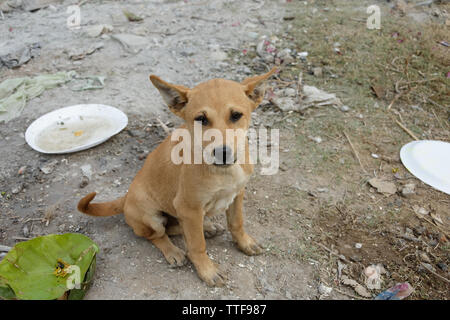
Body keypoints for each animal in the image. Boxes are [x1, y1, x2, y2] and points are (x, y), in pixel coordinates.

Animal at [79, 67, 278, 284]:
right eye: (201, 119)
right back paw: (174, 252)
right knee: (158, 234)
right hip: (151, 217)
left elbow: (237, 223)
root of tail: (126, 198)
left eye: (236, 115)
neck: (223, 171)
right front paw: (207, 270)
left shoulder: (237, 195)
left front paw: (244, 242)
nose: (222, 153)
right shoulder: (188, 207)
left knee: (177, 227)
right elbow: (197, 245)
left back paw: (206, 227)